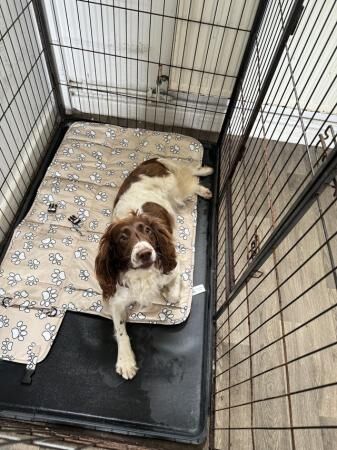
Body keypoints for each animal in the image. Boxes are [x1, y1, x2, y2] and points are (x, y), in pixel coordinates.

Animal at [94, 158, 211, 380]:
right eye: (123, 238)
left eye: (148, 231)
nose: (145, 253)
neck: (142, 275)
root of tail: (151, 161)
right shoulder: (117, 299)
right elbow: (121, 331)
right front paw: (126, 361)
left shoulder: (174, 268)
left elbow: (173, 295)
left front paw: (165, 292)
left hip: (176, 188)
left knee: (190, 176)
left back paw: (205, 180)